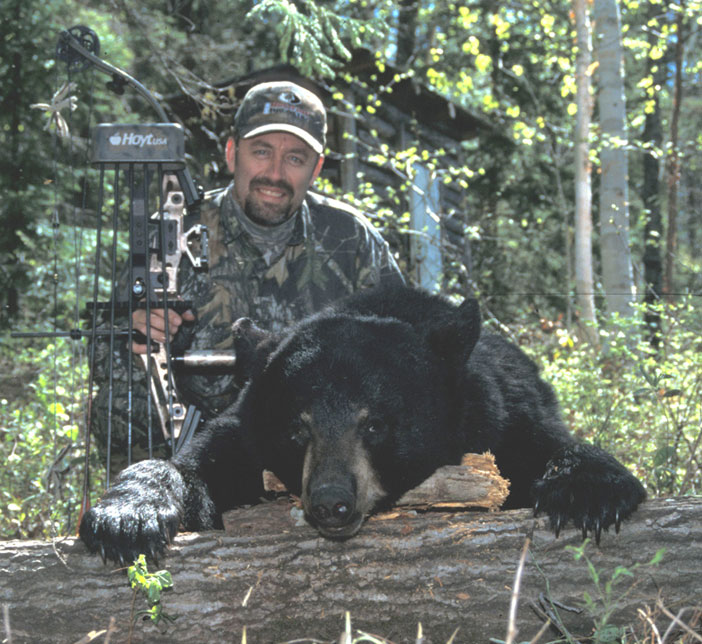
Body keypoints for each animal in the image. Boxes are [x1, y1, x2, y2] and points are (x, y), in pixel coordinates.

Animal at [80, 286, 648, 564]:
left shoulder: (501, 417)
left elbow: (547, 445)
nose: (331, 502)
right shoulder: (246, 431)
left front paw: (590, 489)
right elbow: (191, 465)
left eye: (375, 424)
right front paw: (125, 517)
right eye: (298, 428)